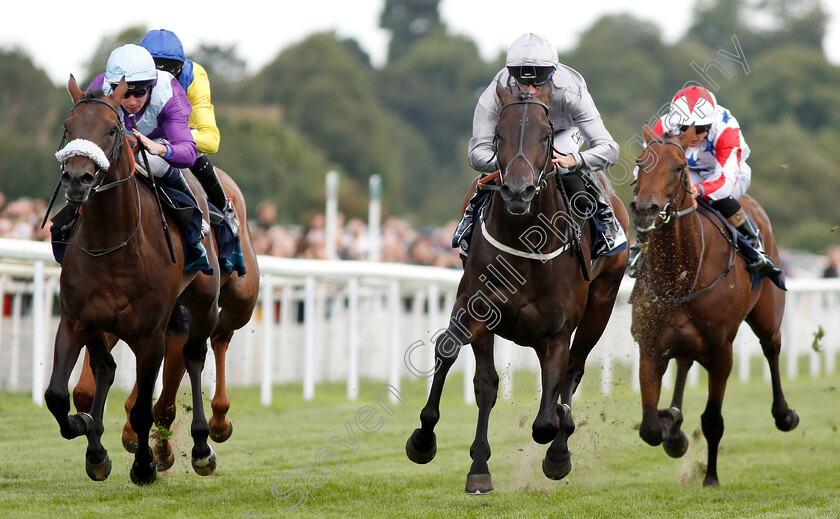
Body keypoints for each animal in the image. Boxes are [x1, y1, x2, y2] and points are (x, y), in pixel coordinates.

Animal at [404, 82, 628, 496]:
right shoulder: (475, 306)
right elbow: (469, 370)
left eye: (546, 135)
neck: (527, 244)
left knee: (573, 371)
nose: (518, 192)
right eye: (498, 134)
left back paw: (560, 451)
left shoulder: (558, 331)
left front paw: (557, 440)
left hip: (601, 305)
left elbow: (546, 418)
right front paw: (435, 446)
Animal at [632, 125, 800, 488]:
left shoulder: (722, 351)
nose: (645, 210)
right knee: (684, 362)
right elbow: (649, 428)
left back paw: (785, 414)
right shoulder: (650, 347)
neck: (680, 276)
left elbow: (713, 420)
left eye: (679, 168)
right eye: (640, 162)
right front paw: (672, 428)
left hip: (767, 315)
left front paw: (710, 477)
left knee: (772, 347)